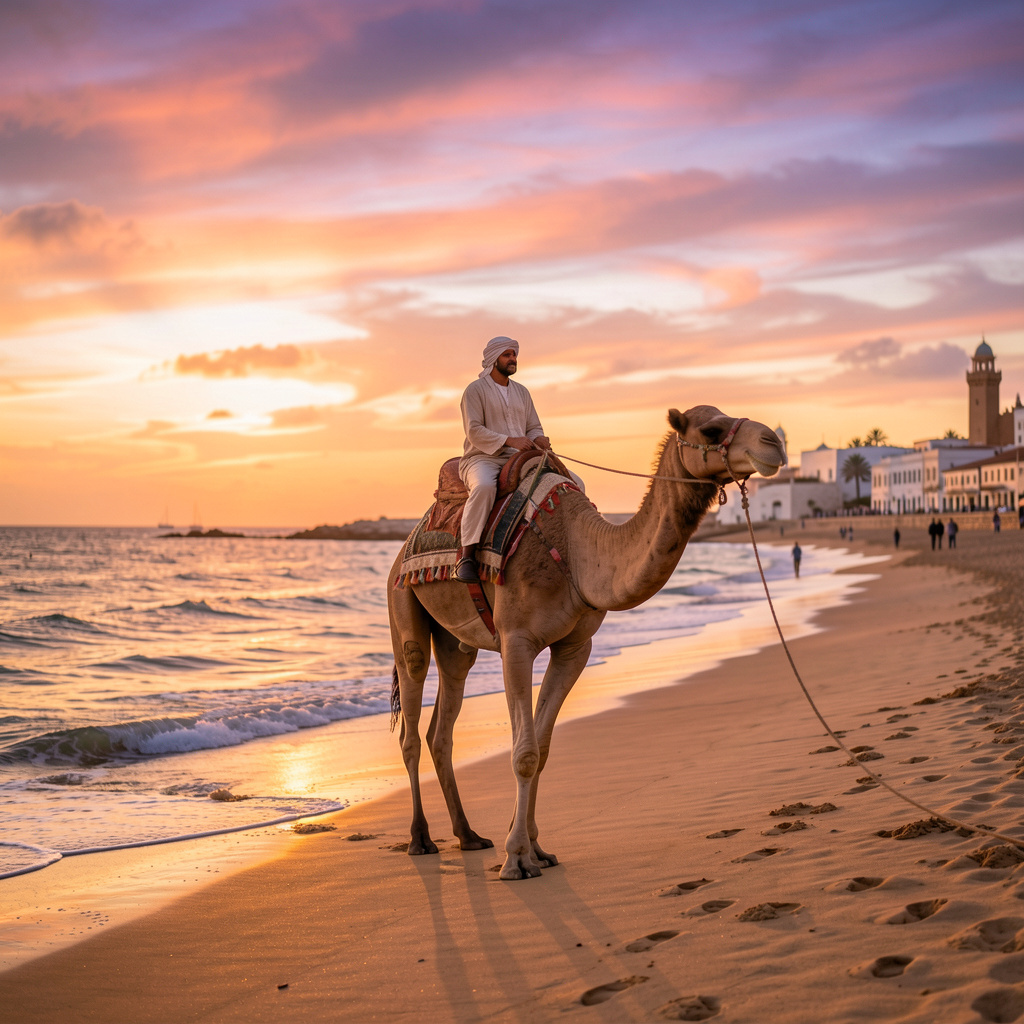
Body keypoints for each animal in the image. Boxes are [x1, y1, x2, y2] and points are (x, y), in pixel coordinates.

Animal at [387, 405, 786, 879]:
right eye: (711, 428)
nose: (773, 444)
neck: (578, 554)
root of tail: (404, 547)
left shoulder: (576, 647)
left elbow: (540, 749)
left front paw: (536, 849)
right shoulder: (517, 640)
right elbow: (523, 752)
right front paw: (516, 859)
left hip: (455, 644)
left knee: (442, 726)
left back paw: (469, 837)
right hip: (401, 605)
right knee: (411, 716)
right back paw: (420, 839)